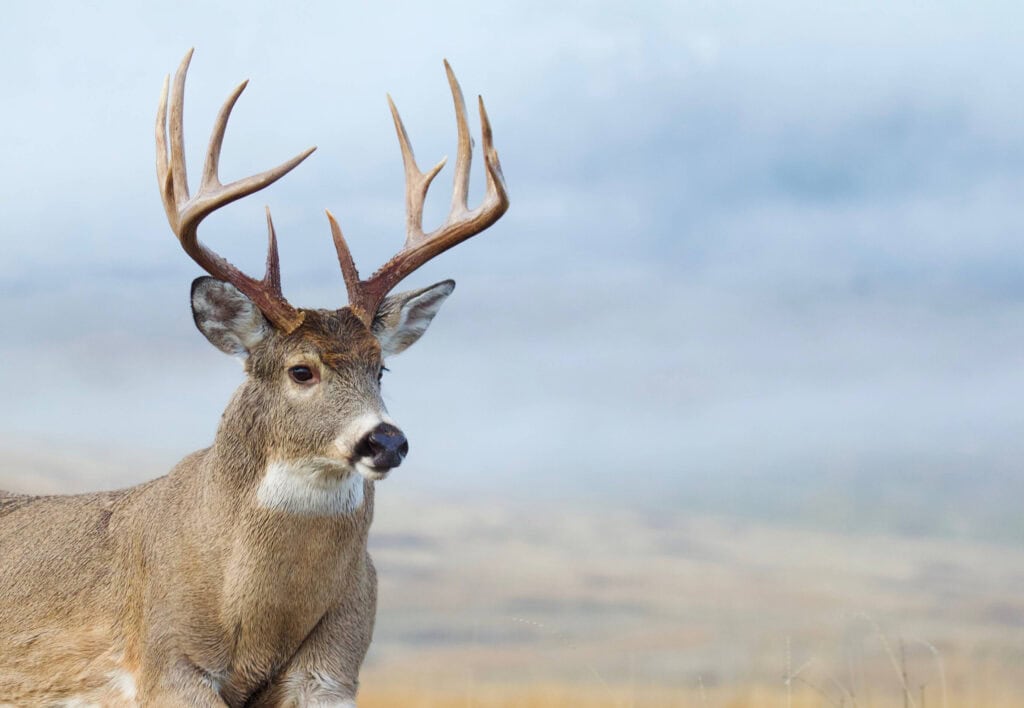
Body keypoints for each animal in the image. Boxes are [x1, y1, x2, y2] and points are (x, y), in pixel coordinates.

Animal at [0, 50, 508, 706]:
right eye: (301, 369)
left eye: (381, 366)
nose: (386, 440)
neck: (255, 617)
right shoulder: (169, 660)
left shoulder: (334, 666)